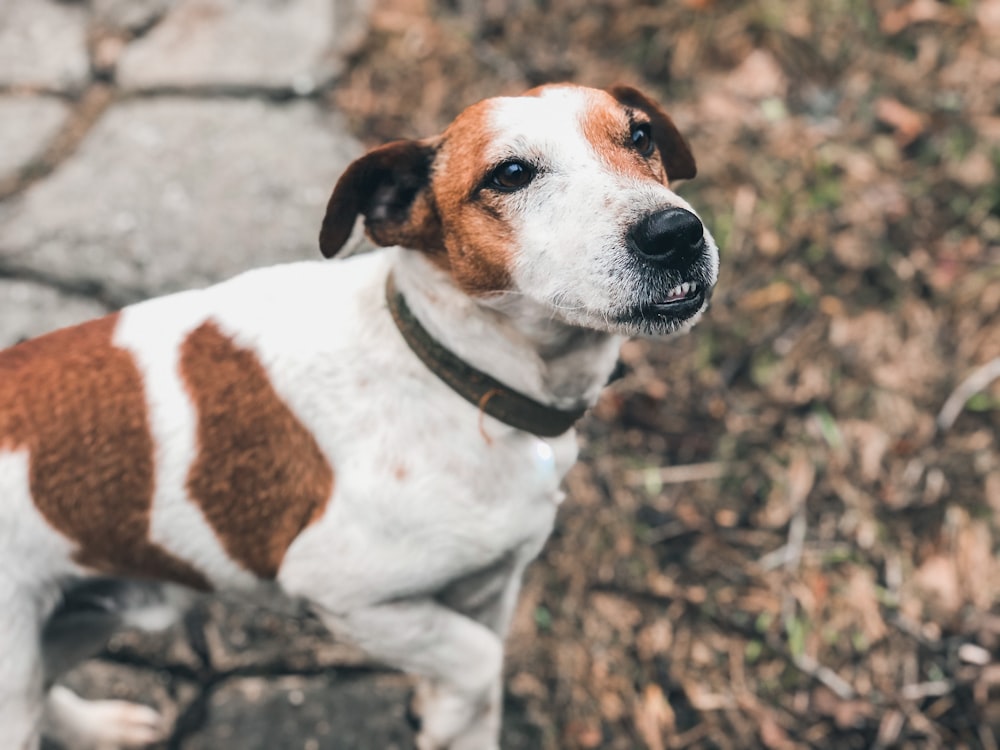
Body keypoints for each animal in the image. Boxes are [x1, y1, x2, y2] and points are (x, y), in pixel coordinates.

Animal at [0, 83, 720, 750]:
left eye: (641, 136)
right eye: (511, 174)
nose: (676, 233)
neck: (451, 371)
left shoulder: (486, 589)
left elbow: (480, 685)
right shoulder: (345, 592)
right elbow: (480, 663)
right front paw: (442, 718)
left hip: (84, 618)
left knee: (43, 692)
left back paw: (99, 727)